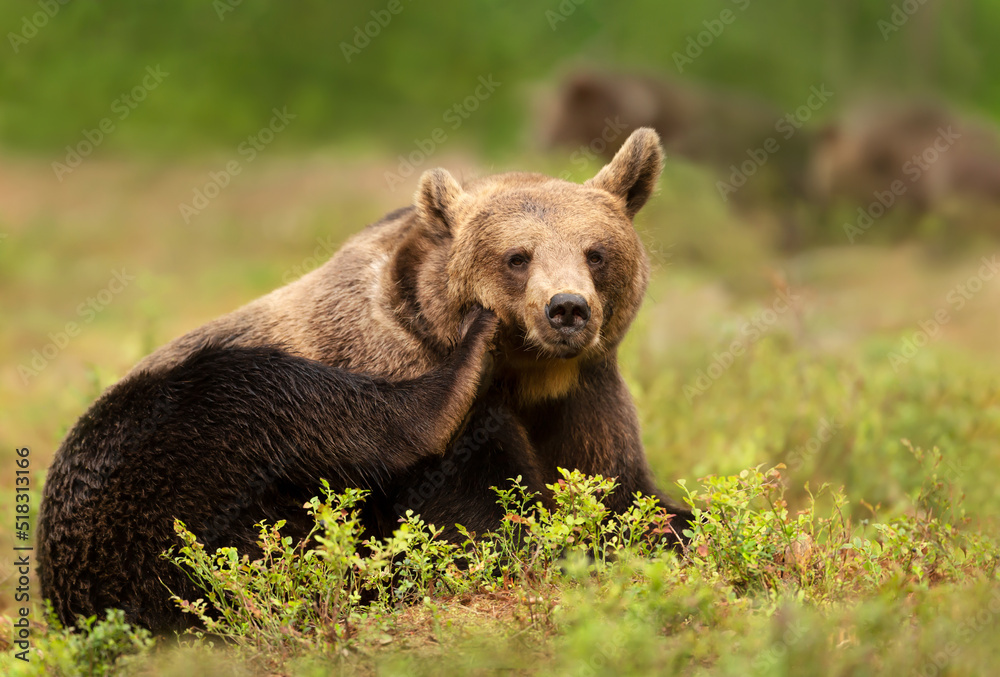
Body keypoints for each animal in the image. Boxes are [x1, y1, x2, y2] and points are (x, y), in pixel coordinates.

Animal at [41, 128, 696, 632]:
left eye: (595, 252)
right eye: (518, 256)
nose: (567, 309)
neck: (532, 374)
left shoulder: (586, 396)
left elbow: (620, 490)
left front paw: (678, 524)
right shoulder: (413, 377)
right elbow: (479, 523)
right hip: (137, 457)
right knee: (265, 403)